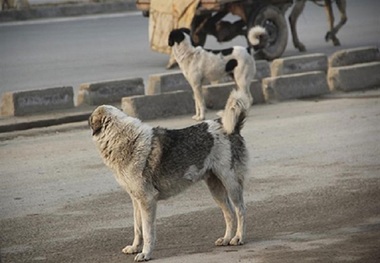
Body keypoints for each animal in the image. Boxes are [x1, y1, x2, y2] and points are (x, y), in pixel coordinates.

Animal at [88, 90, 249, 262]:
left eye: (90, 120)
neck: (123, 140)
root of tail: (232, 128)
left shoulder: (147, 200)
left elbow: (147, 231)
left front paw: (145, 253)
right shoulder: (136, 200)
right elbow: (137, 228)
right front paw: (134, 247)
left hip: (231, 183)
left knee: (240, 210)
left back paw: (239, 238)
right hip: (216, 189)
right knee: (229, 213)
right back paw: (226, 239)